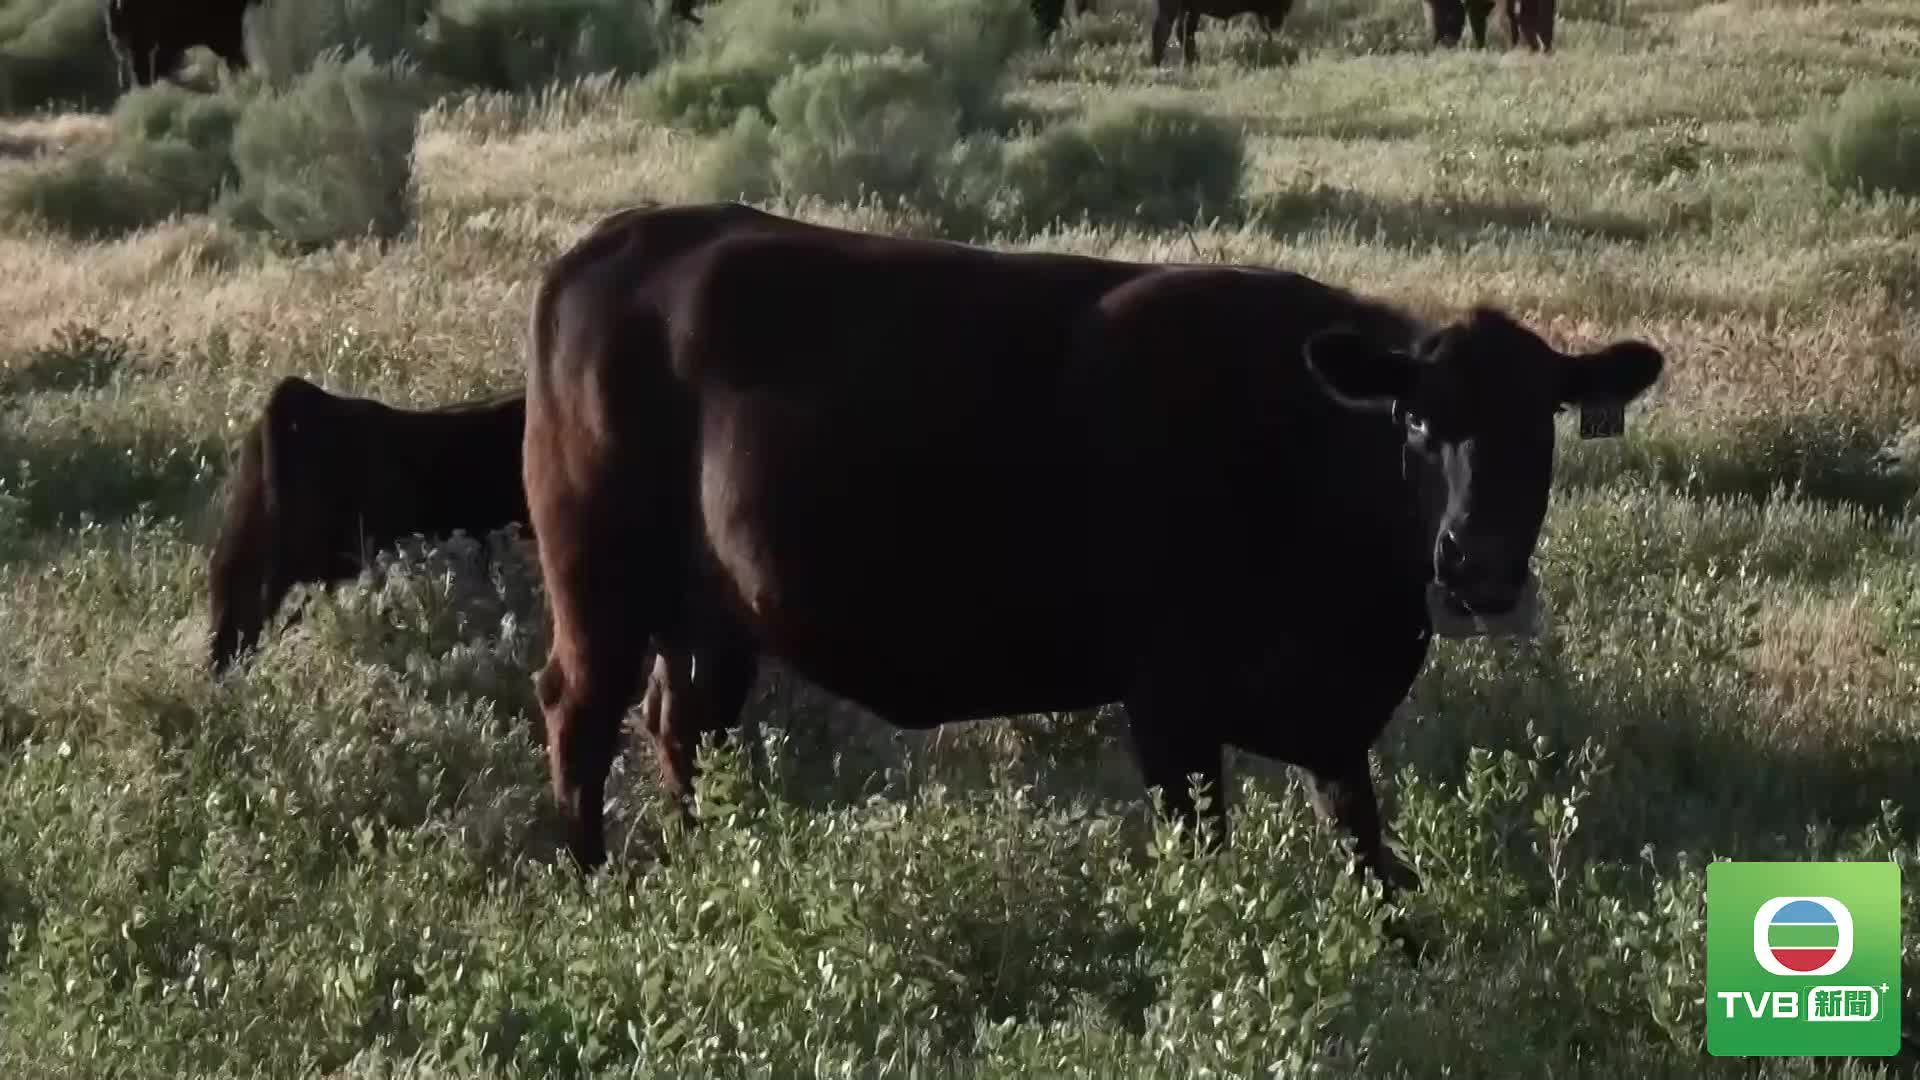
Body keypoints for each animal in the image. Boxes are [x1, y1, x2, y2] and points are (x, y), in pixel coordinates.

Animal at [519, 202, 1665, 891]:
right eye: (1419, 422)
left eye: (1544, 425)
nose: (1477, 562)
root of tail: (622, 238)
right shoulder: (1170, 705)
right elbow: (1205, 859)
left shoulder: (1335, 727)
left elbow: (1374, 855)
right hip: (598, 587)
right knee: (579, 716)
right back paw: (595, 887)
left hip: (713, 619)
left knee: (687, 729)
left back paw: (723, 867)